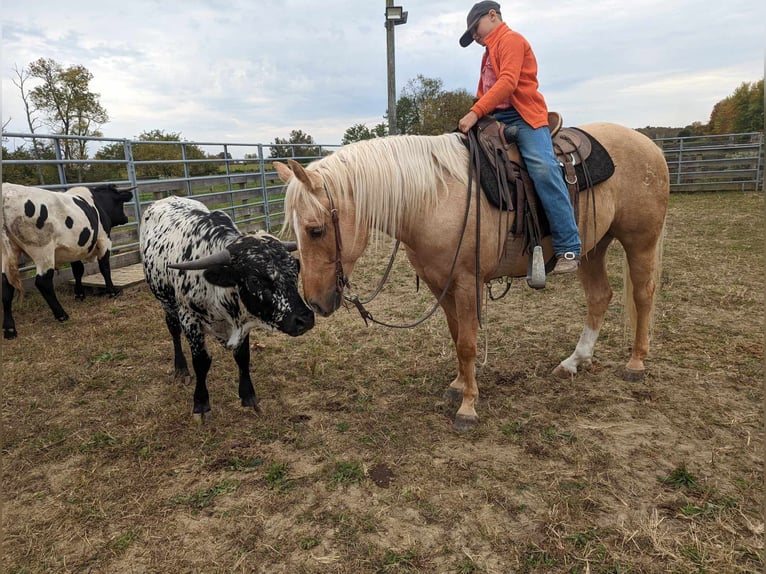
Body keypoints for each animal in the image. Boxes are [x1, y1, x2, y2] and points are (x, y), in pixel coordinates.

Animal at [2, 182, 134, 340]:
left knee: (6, 287)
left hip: (7, 255)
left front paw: (79, 294)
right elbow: (104, 268)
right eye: (121, 203)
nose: (126, 218)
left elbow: (78, 271)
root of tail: (6, 192)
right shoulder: (104, 240)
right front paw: (112, 291)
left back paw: (10, 329)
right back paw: (61, 315)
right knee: (43, 282)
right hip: (43, 251)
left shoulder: (72, 249)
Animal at [140, 196, 316, 420]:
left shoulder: (243, 321)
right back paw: (180, 369)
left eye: (295, 268)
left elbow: (243, 357)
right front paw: (201, 404)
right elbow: (201, 362)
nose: (305, 319)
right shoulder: (190, 319)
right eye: (255, 281)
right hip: (166, 302)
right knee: (173, 330)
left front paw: (248, 395)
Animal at [278, 125, 672, 432]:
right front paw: (458, 385)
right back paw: (575, 361)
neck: (432, 197)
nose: (315, 302)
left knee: (643, 294)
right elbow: (456, 336)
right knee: (600, 297)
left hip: (640, 241)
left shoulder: (467, 281)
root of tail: (649, 145)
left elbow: (468, 342)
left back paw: (636, 362)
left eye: (315, 230)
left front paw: (467, 407)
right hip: (592, 249)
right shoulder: (440, 282)